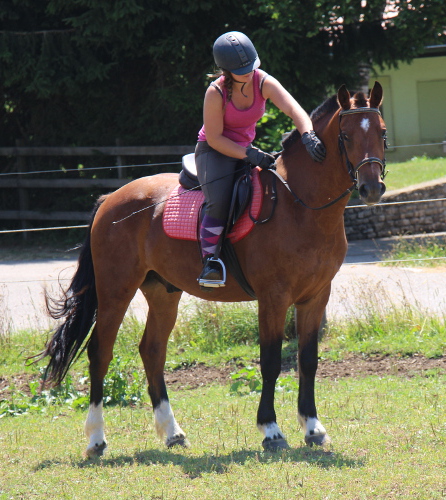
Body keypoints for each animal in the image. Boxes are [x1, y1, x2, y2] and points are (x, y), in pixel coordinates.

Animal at [36, 81, 388, 458]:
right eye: (346, 136)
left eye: (382, 133)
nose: (372, 188)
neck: (301, 206)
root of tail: (110, 199)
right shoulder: (274, 298)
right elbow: (271, 361)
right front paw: (271, 431)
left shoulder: (316, 296)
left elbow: (308, 360)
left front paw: (312, 427)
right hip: (116, 290)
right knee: (100, 352)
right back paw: (96, 439)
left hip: (163, 292)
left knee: (152, 351)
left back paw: (172, 432)